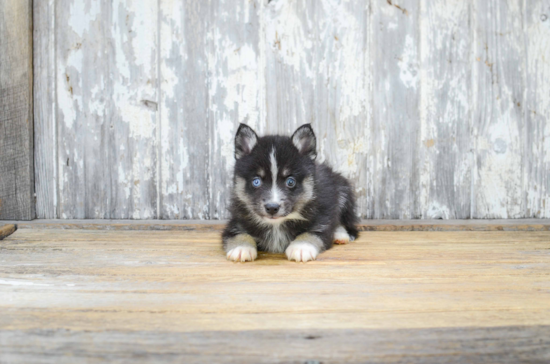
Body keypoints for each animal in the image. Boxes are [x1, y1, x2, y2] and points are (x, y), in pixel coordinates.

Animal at [222, 123, 360, 264]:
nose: (272, 208)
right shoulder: (236, 221)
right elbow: (237, 233)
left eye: (290, 181)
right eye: (256, 181)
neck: (276, 225)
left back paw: (340, 234)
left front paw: (301, 247)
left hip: (343, 191)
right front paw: (241, 248)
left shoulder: (322, 217)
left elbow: (314, 231)